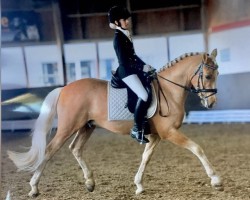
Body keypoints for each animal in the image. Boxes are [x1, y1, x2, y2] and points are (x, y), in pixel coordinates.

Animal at [7, 48, 223, 197]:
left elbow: (145, 158)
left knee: (75, 148)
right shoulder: (169, 132)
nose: (211, 103)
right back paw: (34, 188)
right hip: (68, 127)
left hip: (87, 127)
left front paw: (139, 185)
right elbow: (197, 148)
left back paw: (89, 182)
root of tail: (65, 87)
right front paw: (215, 179)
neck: (169, 91)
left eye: (217, 75)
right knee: (50, 150)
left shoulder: (155, 136)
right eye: (207, 76)